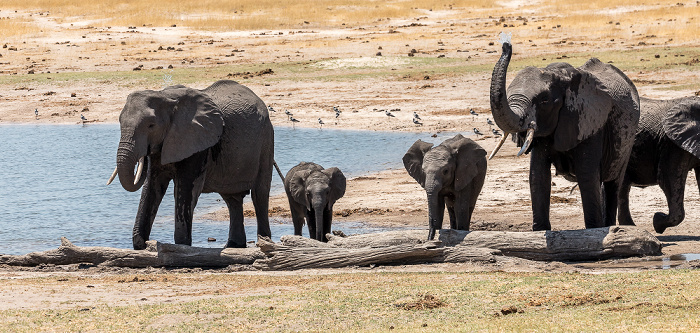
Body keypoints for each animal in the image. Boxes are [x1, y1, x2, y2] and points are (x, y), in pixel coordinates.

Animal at [106, 79, 274, 248]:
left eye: (151, 125)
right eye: (120, 121)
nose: (144, 154)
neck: (165, 96)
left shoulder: (197, 142)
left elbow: (186, 189)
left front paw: (182, 246)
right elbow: (153, 186)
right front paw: (141, 245)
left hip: (266, 138)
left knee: (259, 194)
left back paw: (263, 242)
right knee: (232, 198)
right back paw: (234, 245)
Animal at [486, 34, 640, 231]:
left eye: (544, 101)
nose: (506, 45)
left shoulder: (590, 123)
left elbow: (586, 176)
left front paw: (594, 231)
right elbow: (538, 175)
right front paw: (541, 231)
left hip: (626, 139)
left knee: (613, 182)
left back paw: (609, 226)